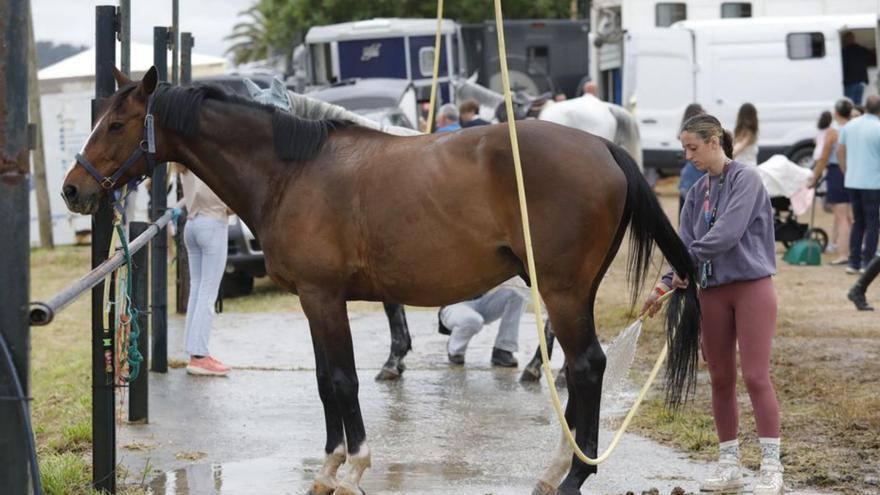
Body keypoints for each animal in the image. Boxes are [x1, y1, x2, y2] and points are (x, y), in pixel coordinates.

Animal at [62, 68, 700, 495]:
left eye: (116, 123)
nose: (73, 189)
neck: (291, 172)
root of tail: (604, 147)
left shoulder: (323, 297)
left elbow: (342, 381)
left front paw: (353, 468)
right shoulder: (316, 301)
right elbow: (326, 382)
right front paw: (328, 468)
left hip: (563, 292)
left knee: (588, 367)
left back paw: (571, 478)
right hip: (572, 291)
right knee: (580, 370)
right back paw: (555, 470)